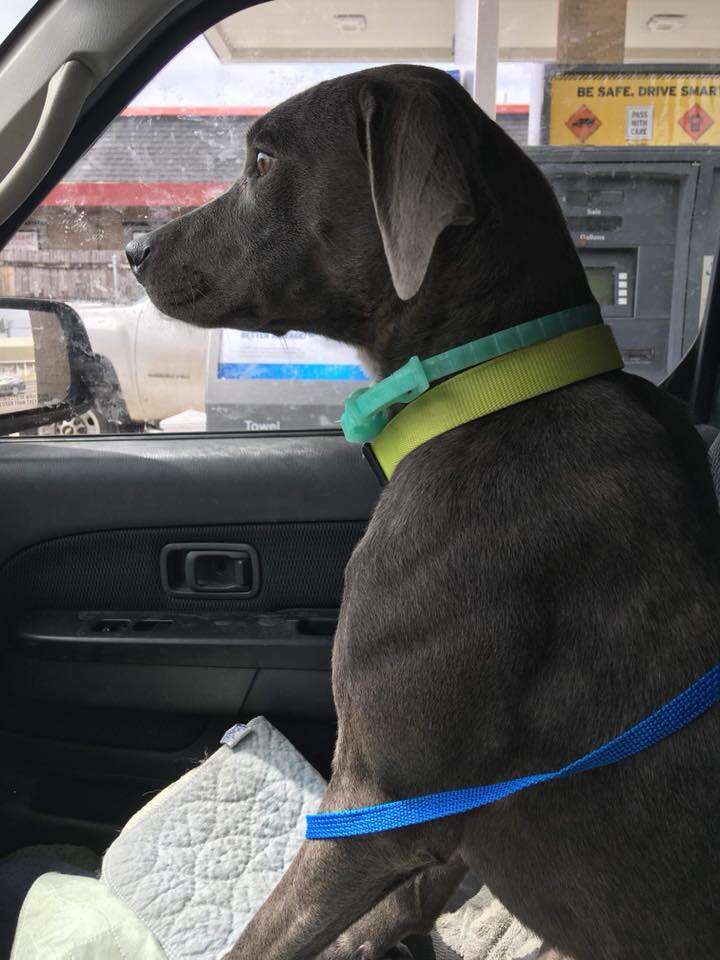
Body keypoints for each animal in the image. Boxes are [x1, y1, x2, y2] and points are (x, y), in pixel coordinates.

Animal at [126, 65, 720, 960]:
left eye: (262, 160)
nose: (133, 250)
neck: (494, 384)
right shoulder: (438, 828)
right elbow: (397, 906)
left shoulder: (373, 805)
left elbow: (266, 936)